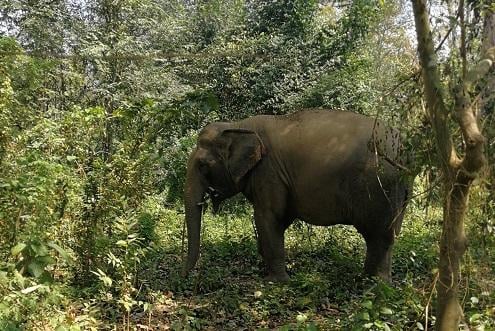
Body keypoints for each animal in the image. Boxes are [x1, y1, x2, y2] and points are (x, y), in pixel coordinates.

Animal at [181, 109, 410, 282]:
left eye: (203, 166)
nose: (184, 274)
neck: (238, 124)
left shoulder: (268, 171)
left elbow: (268, 217)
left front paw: (275, 282)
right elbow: (280, 220)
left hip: (380, 186)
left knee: (379, 236)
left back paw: (373, 284)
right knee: (390, 234)